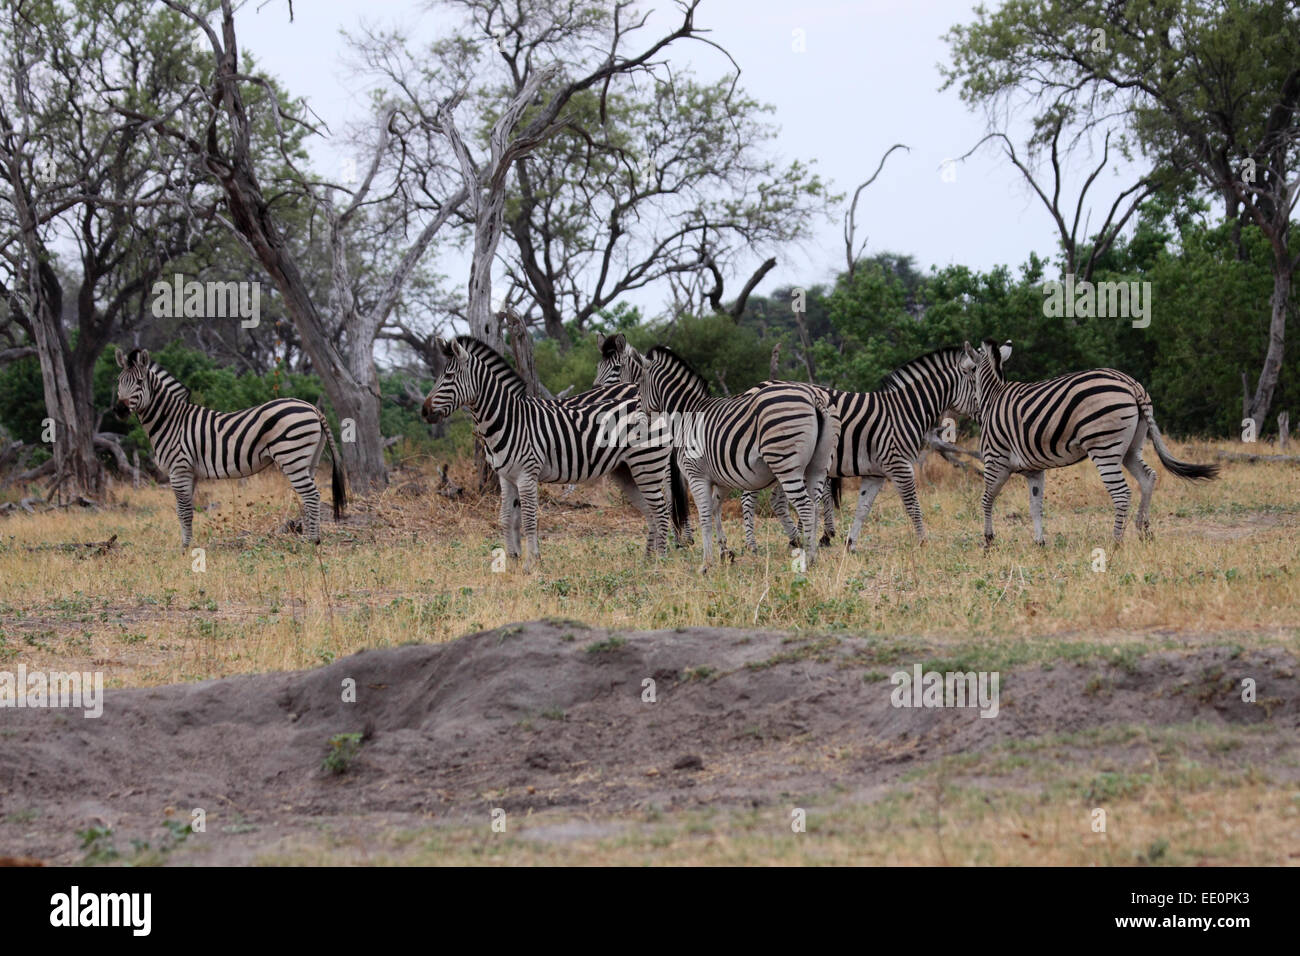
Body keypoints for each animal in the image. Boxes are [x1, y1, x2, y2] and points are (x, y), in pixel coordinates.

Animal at [114, 348, 345, 548]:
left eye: (139, 382)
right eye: (119, 381)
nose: (119, 410)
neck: (171, 421)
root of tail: (313, 408)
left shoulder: (178, 468)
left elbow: (183, 511)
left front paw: (185, 549)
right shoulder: (190, 472)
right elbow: (187, 510)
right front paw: (188, 545)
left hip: (292, 457)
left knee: (311, 495)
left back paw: (312, 542)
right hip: (309, 459)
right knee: (309, 497)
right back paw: (311, 538)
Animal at [421, 338, 681, 572]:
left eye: (449, 377)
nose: (424, 411)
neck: (509, 419)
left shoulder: (527, 475)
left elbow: (529, 519)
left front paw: (531, 564)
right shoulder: (506, 477)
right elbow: (507, 518)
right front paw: (512, 561)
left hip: (647, 465)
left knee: (661, 511)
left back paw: (661, 563)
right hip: (627, 471)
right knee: (650, 512)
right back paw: (646, 561)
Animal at [624, 343, 837, 567]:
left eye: (638, 384)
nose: (635, 422)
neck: (687, 414)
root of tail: (812, 396)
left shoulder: (696, 475)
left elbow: (705, 515)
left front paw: (706, 564)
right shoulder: (722, 478)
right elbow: (716, 509)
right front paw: (725, 552)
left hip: (787, 466)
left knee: (806, 507)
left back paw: (808, 559)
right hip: (817, 466)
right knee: (815, 505)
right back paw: (814, 553)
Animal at [956, 338, 1216, 546]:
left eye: (967, 370)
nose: (969, 413)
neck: (992, 397)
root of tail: (1132, 385)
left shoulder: (995, 460)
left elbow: (986, 499)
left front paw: (988, 540)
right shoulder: (1035, 470)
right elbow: (1035, 506)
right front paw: (1039, 542)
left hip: (1104, 447)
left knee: (1122, 493)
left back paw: (1116, 542)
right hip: (1131, 448)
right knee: (1148, 478)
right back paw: (1143, 531)